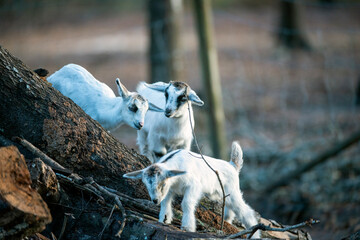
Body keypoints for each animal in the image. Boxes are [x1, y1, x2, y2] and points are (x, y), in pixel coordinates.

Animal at [123, 142, 258, 239]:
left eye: (163, 183)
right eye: (146, 184)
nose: (155, 200)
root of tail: (233, 165)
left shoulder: (193, 186)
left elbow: (186, 203)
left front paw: (187, 227)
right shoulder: (170, 190)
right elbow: (165, 202)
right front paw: (164, 219)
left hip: (233, 191)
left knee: (244, 210)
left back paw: (254, 233)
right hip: (221, 194)